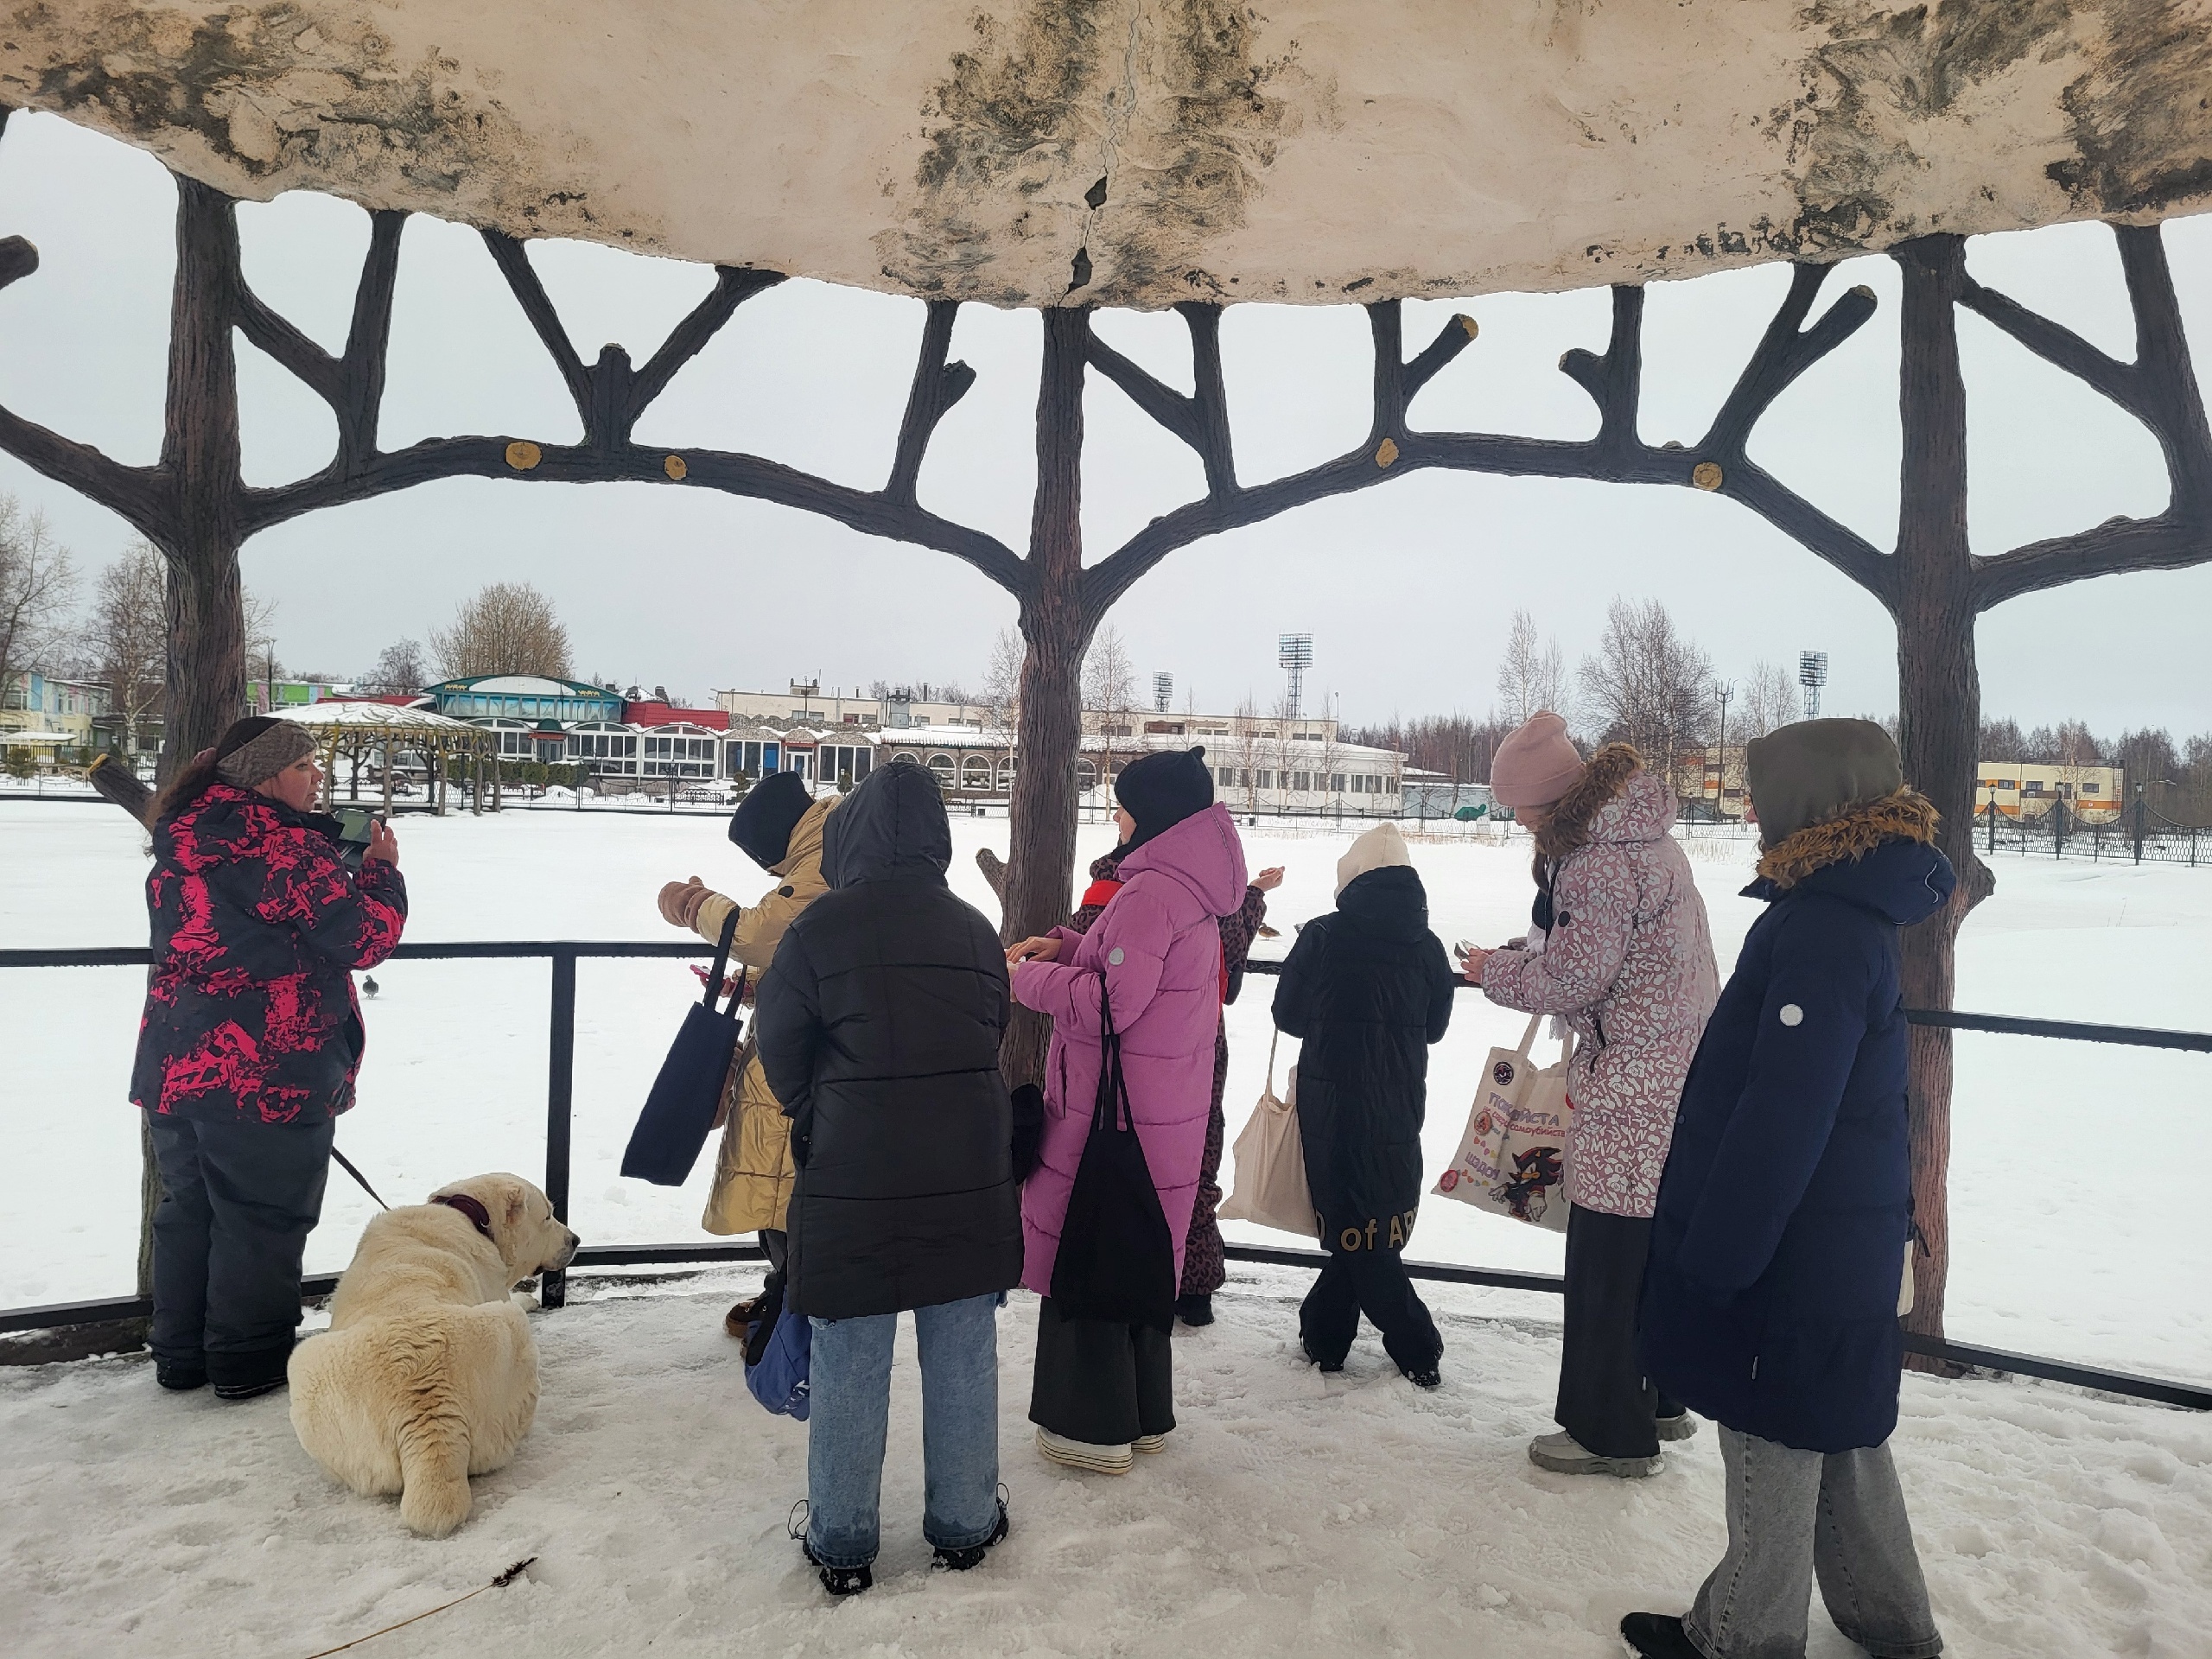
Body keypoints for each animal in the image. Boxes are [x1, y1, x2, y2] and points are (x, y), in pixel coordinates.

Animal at [291, 1176, 579, 1539]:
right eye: (547, 1217)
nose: (576, 1240)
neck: (471, 1215)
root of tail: (430, 1409)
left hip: (306, 1365)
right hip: (513, 1326)